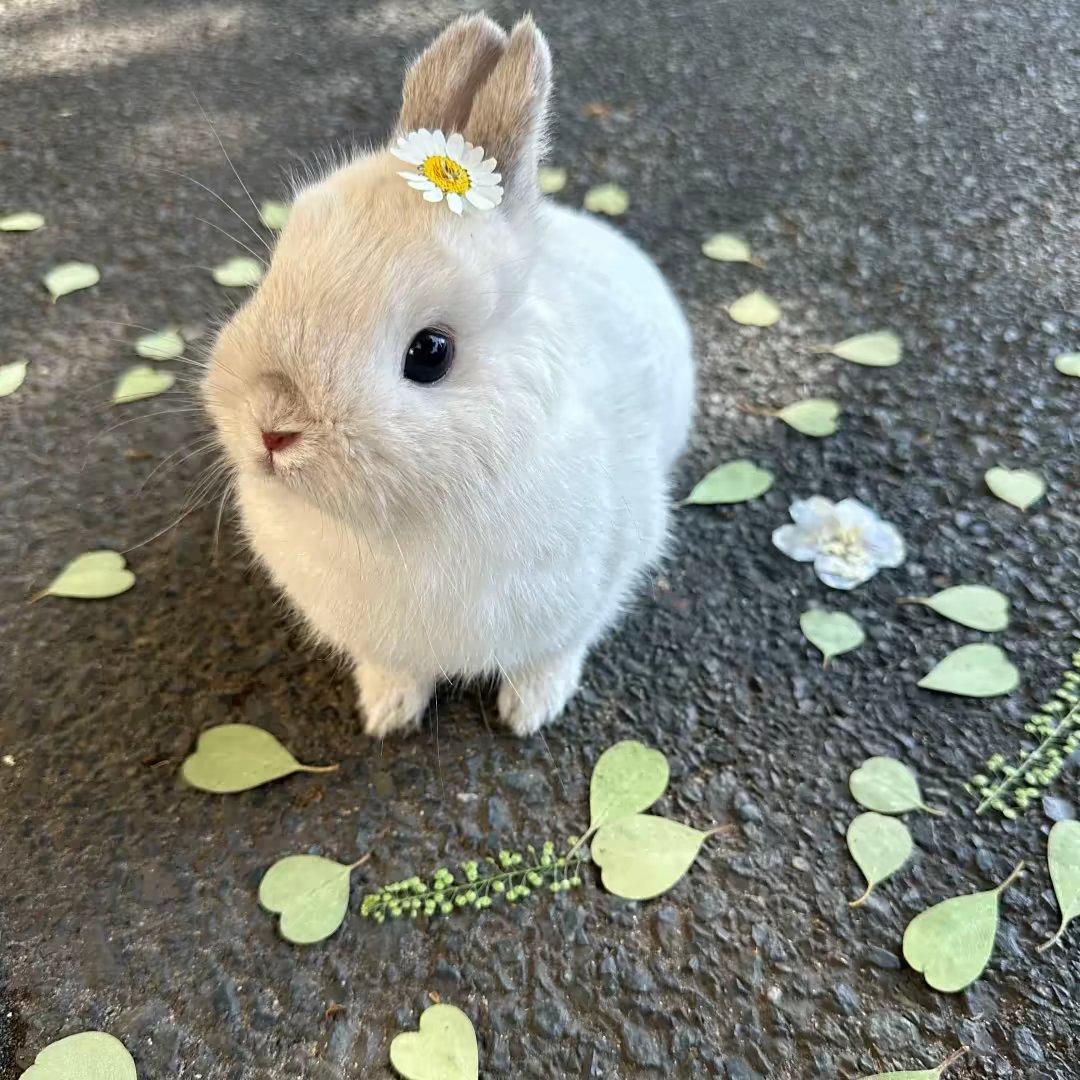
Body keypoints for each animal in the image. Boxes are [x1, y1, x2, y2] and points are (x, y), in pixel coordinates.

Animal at [203, 13, 694, 738]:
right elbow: (395, 668)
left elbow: (555, 653)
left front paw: (530, 711)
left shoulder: (590, 590)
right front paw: (387, 712)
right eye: (273, 270)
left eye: (430, 353)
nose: (271, 428)